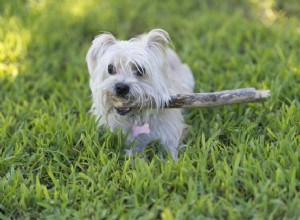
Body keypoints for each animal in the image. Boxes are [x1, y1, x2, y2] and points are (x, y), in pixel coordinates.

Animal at [85, 28, 196, 160]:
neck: (137, 118)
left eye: (140, 70)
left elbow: (171, 152)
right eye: (110, 68)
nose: (121, 87)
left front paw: (171, 161)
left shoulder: (171, 134)